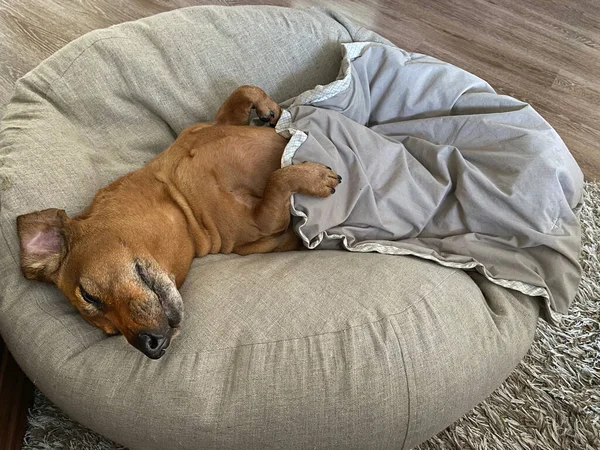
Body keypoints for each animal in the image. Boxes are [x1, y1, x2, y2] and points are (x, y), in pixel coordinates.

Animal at [16, 85, 340, 358]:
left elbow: (241, 92)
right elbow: (277, 180)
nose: (151, 348)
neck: (177, 198)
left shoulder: (216, 125)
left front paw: (267, 108)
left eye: (89, 295)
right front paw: (313, 176)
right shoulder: (262, 222)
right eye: (112, 333)